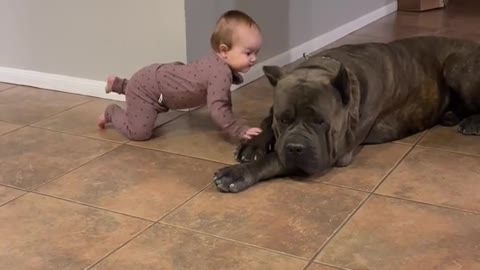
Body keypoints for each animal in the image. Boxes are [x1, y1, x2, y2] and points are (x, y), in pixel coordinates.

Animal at [214, 35, 480, 192]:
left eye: (320, 122)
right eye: (284, 119)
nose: (295, 148)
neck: (323, 67)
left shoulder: (336, 152)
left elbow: (275, 159)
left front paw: (237, 173)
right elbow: (266, 121)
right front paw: (252, 145)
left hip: (456, 65)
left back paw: (471, 123)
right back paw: (450, 115)